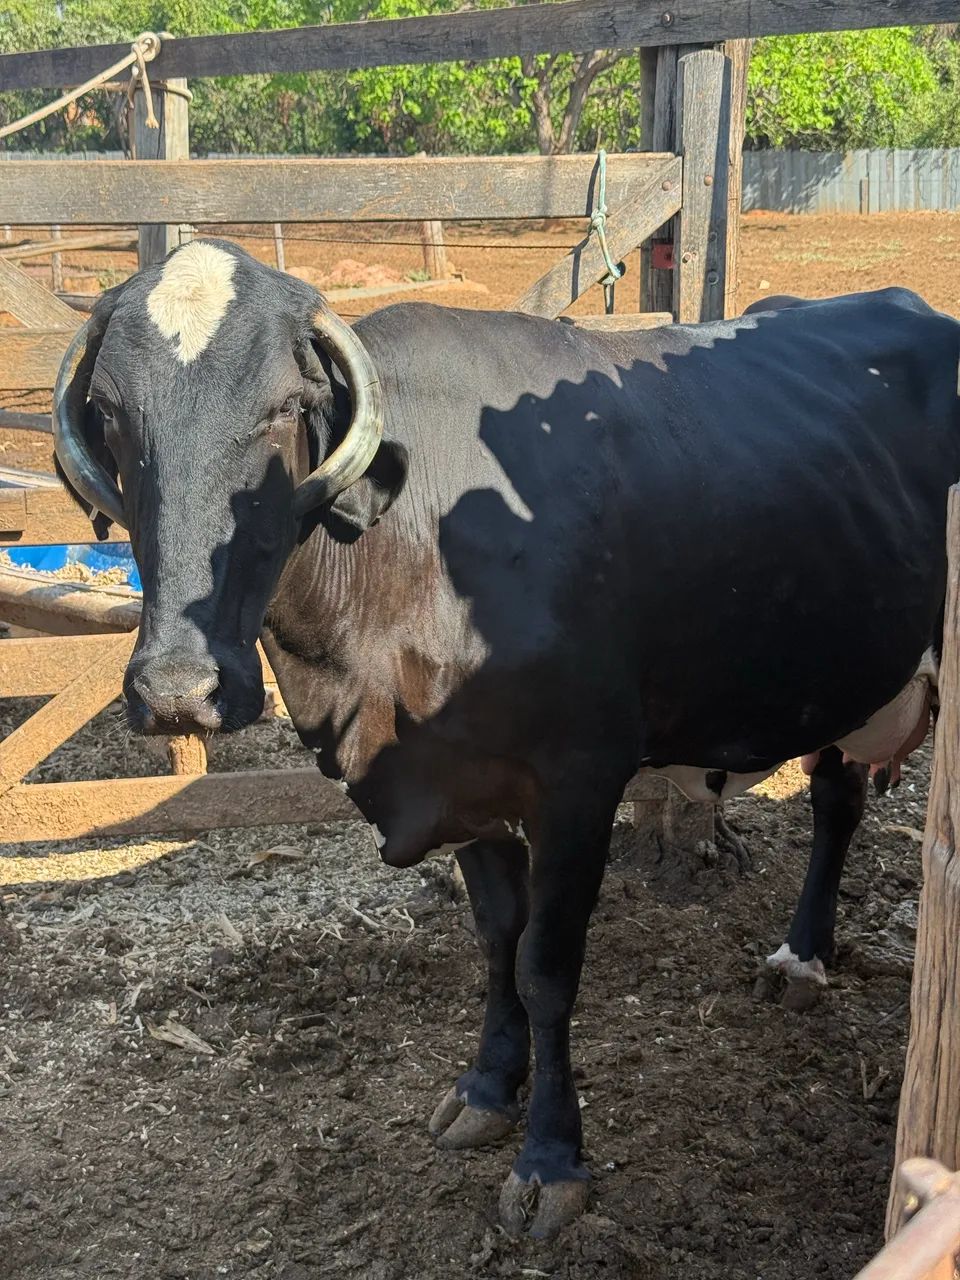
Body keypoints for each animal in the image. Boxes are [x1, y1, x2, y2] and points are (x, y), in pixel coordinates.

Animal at [51, 239, 960, 1238]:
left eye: (285, 404)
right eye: (109, 412)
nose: (179, 690)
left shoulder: (578, 784)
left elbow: (544, 967)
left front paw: (551, 1158)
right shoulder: (460, 785)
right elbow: (495, 938)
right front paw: (489, 1087)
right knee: (837, 796)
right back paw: (803, 958)